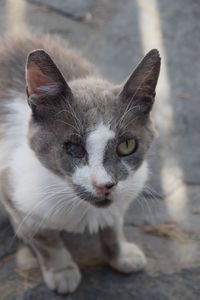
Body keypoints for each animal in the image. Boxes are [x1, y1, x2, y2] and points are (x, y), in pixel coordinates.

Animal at [0, 32, 160, 292]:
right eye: (74, 149)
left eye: (127, 146)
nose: (105, 184)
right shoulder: (12, 184)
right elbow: (45, 239)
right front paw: (62, 271)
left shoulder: (129, 186)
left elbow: (113, 222)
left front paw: (121, 254)